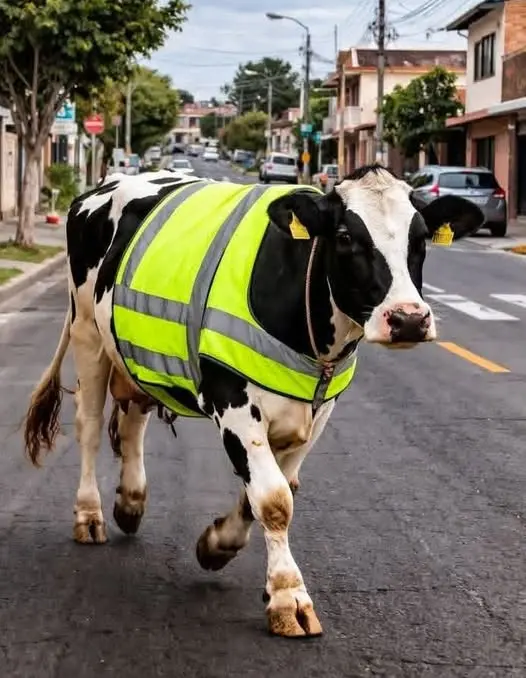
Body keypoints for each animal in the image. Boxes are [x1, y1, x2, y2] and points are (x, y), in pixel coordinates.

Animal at [23, 165, 483, 638]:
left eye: (421, 237)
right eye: (344, 236)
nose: (409, 319)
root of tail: (106, 183)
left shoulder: (317, 412)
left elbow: (272, 489)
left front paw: (216, 545)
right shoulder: (233, 401)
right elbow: (274, 498)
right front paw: (288, 597)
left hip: (134, 350)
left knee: (133, 420)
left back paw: (131, 502)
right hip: (87, 331)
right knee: (90, 426)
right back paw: (89, 514)